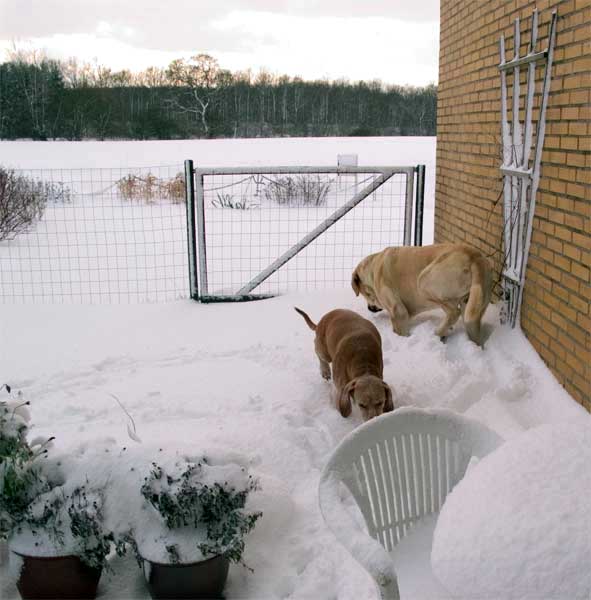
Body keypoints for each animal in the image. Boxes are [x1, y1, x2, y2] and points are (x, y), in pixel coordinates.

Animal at [354, 244, 492, 346]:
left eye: (365, 295)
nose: (370, 308)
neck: (373, 270)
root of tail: (474, 256)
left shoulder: (398, 310)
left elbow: (400, 328)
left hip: (423, 281)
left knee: (454, 312)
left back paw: (438, 332)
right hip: (472, 307)